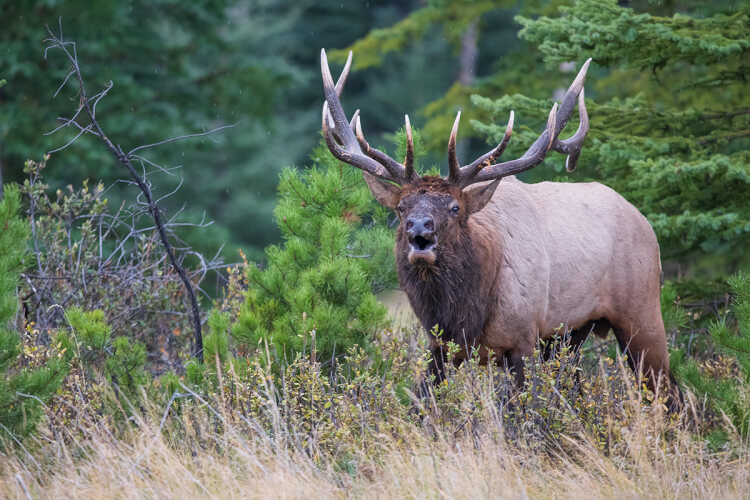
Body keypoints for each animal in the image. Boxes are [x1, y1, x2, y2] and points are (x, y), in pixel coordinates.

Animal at [320, 48, 684, 408]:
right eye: (400, 207)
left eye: (455, 208)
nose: (419, 227)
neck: (469, 309)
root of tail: (645, 222)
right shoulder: (440, 345)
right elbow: (420, 404)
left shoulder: (521, 339)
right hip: (570, 334)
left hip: (641, 311)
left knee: (669, 391)